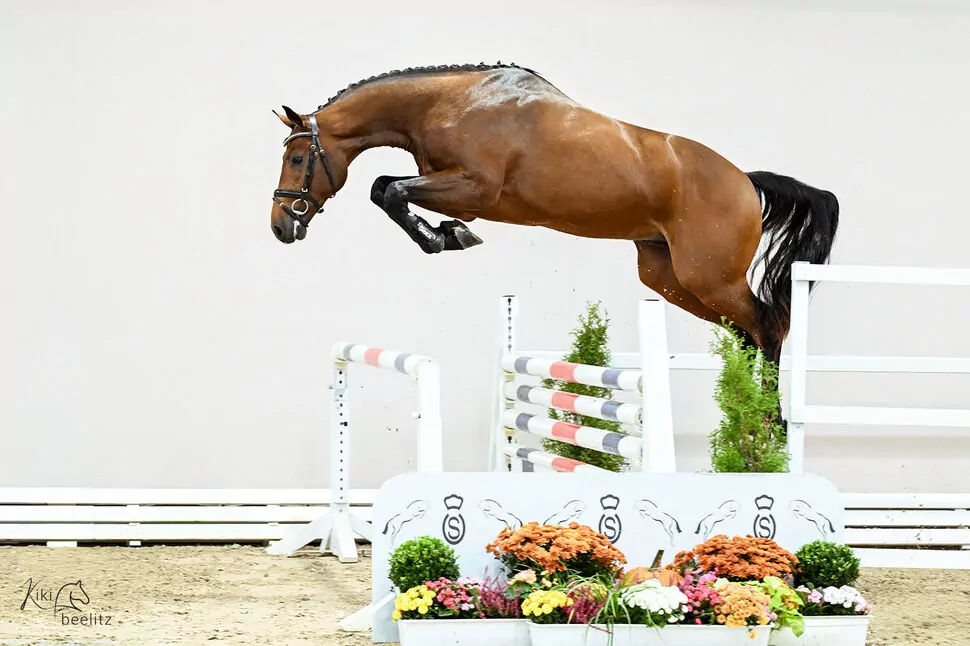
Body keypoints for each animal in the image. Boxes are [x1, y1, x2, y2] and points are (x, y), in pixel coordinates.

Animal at [269, 62, 839, 369]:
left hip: (710, 277)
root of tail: (744, 180)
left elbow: (388, 192)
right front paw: (448, 235)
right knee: (748, 333)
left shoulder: (474, 190)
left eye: (296, 158)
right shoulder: (447, 184)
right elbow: (385, 189)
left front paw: (447, 236)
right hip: (668, 276)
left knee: (769, 326)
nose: (280, 226)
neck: (452, 104)